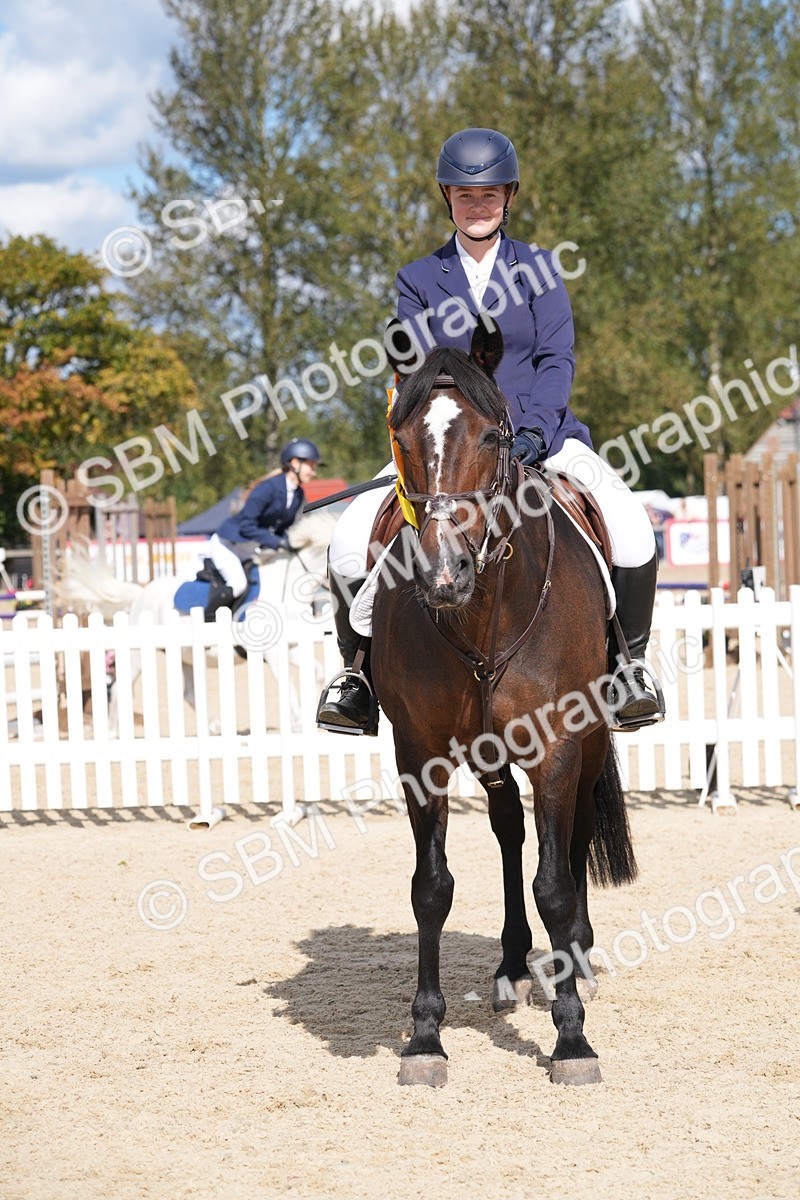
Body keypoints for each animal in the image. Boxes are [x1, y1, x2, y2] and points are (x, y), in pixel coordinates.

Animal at [370, 322, 637, 1088]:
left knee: (570, 837)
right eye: (402, 438)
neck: (483, 608)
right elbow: (431, 888)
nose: (442, 574)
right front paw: (425, 1037)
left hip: (590, 741)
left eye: (492, 435)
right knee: (509, 828)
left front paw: (572, 1039)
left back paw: (574, 959)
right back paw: (515, 965)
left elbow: (556, 882)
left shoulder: (559, 744)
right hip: (489, 754)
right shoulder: (419, 752)